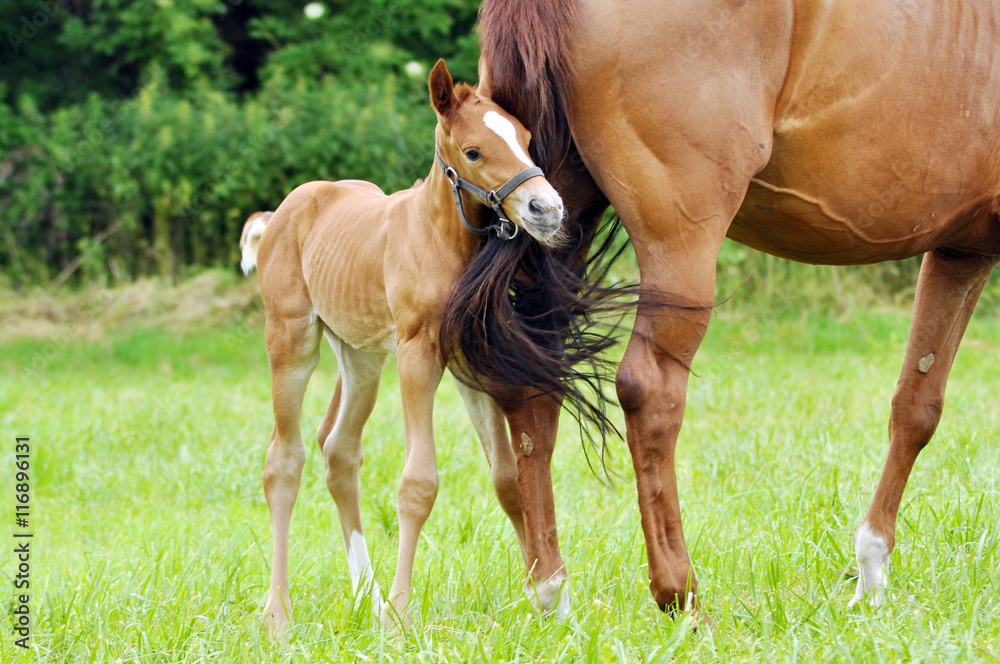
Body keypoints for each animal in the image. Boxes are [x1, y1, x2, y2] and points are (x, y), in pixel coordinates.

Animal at [239, 59, 566, 631]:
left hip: (362, 356)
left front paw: (545, 598)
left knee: (339, 449)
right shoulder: (417, 354)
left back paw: (364, 596)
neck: (437, 239)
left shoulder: (469, 360)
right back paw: (279, 613)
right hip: (292, 339)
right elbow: (418, 483)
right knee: (284, 460)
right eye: (473, 151)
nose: (545, 209)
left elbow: (506, 478)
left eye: (526, 139)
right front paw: (400, 612)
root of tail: (282, 211)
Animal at [456, 0, 1000, 614]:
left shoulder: (962, 251)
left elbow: (916, 406)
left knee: (532, 386)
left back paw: (551, 593)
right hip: (681, 245)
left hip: (548, 211)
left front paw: (871, 574)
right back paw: (680, 594)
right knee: (649, 389)